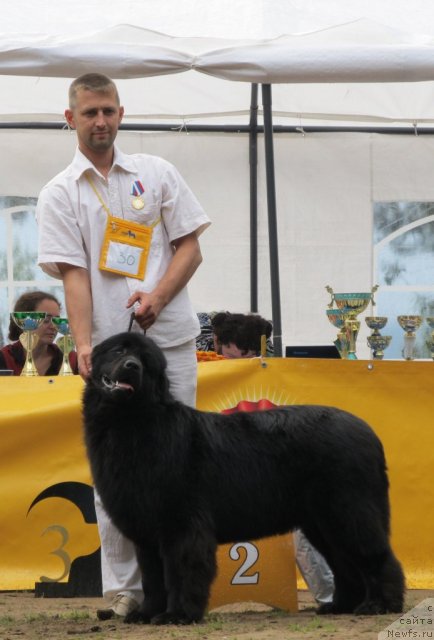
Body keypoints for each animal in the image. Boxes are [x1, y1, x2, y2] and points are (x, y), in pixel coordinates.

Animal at [83, 332, 406, 624]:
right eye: (118, 351)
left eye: (145, 361)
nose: (131, 366)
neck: (131, 424)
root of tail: (367, 431)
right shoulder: (147, 531)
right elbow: (152, 578)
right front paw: (146, 613)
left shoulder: (181, 524)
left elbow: (180, 571)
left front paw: (177, 614)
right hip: (321, 521)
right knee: (344, 563)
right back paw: (340, 606)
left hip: (349, 511)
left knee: (375, 555)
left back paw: (380, 604)